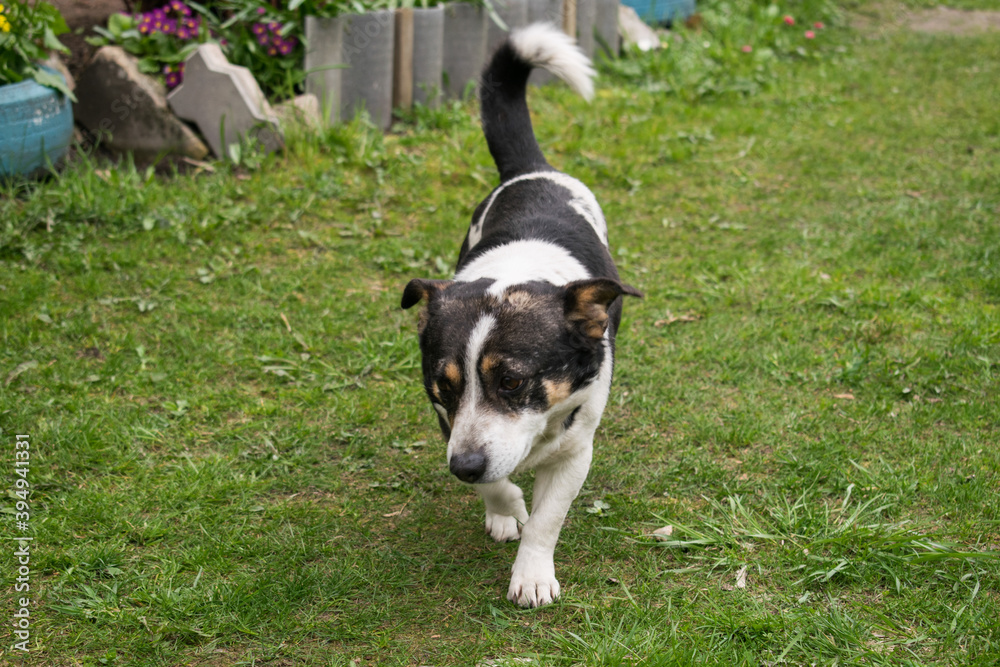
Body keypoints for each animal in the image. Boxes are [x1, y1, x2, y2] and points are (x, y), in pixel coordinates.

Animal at [400, 23, 640, 608]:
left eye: (511, 381)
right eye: (443, 385)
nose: (462, 468)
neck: (517, 269)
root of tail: (532, 169)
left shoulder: (577, 449)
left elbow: (548, 520)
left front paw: (532, 574)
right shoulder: (449, 426)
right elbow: (498, 483)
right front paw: (506, 510)